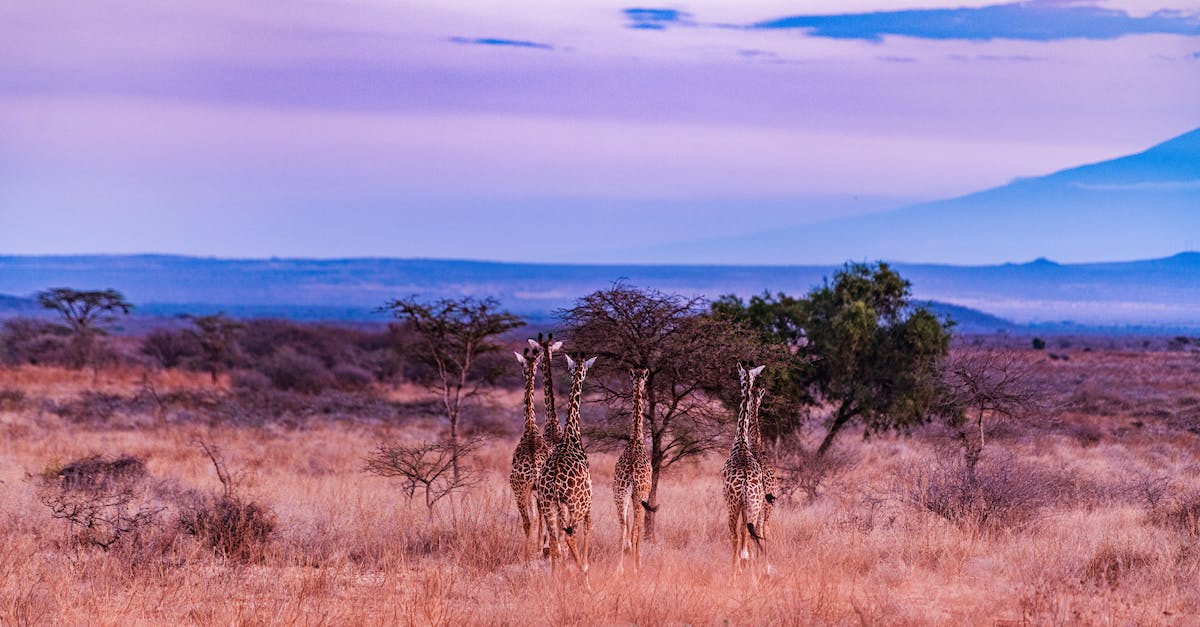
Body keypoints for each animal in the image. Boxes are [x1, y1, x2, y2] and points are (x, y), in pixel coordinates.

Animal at [535, 353, 596, 587]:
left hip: (548, 503)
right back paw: (585, 579)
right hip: (574, 504)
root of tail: (553, 481)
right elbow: (588, 529)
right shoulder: (588, 501)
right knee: (569, 536)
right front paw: (584, 569)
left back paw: (555, 581)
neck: (571, 436)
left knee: (553, 541)